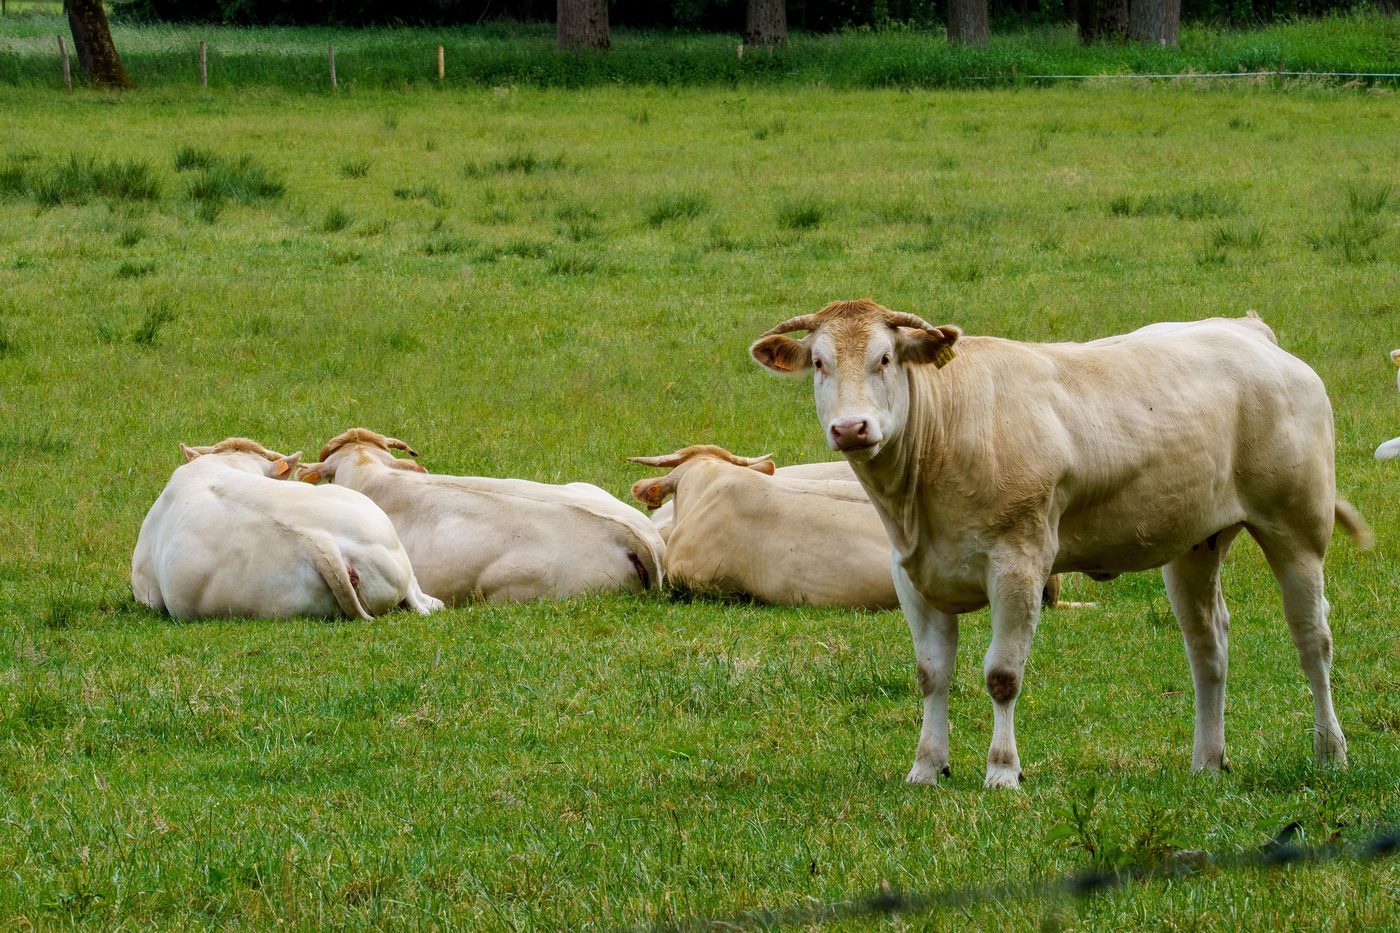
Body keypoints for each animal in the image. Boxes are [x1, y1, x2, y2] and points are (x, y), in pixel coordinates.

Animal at [751, 299, 1371, 788]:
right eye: (820, 363)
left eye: (883, 358)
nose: (851, 429)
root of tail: (1247, 331)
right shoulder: (913, 573)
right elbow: (931, 674)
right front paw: (927, 766)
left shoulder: (1019, 563)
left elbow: (1002, 674)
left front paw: (1002, 770)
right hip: (1193, 543)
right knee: (1207, 646)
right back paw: (1207, 761)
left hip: (1296, 529)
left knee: (1312, 639)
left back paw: (1330, 751)